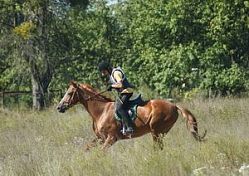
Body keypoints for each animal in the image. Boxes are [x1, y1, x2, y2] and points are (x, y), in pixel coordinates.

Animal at [57, 81, 206, 150]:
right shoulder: (100, 138)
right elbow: (87, 148)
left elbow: (101, 152)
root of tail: (174, 105)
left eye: (69, 93)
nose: (59, 107)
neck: (101, 111)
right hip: (159, 133)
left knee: (157, 147)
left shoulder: (111, 138)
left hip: (156, 131)